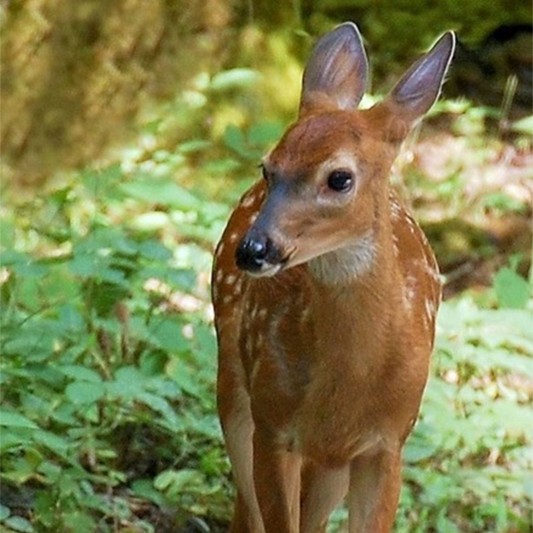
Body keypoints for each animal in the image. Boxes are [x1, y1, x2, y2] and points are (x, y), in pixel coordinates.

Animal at [210, 21, 456, 532]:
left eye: (339, 178)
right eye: (268, 167)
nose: (254, 249)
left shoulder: (388, 441)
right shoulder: (273, 425)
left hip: (331, 462)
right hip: (234, 386)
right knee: (246, 508)